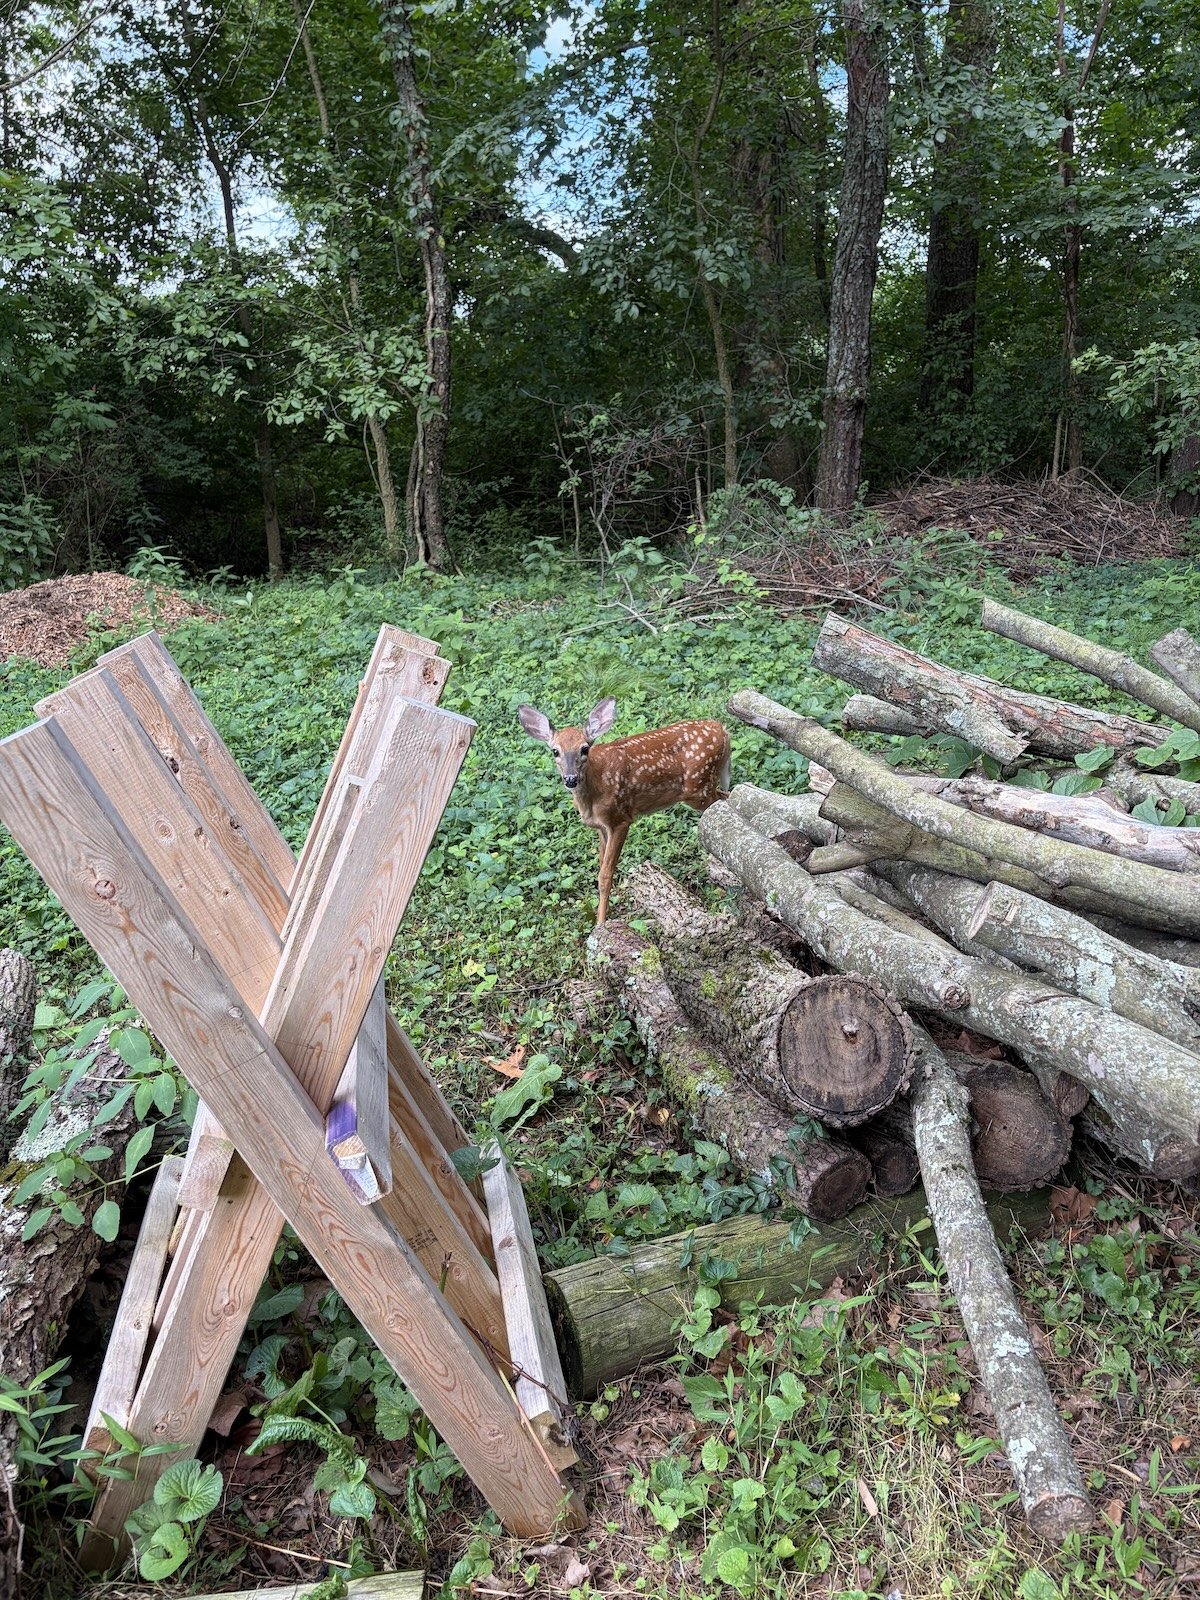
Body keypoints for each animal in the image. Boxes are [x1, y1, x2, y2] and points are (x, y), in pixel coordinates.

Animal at [517, 698, 731, 924]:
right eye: (555, 751)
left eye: (584, 749)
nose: (571, 779)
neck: (594, 789)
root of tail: (723, 730)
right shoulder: (600, 827)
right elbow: (600, 866)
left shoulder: (620, 819)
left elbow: (605, 875)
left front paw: (601, 922)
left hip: (698, 786)